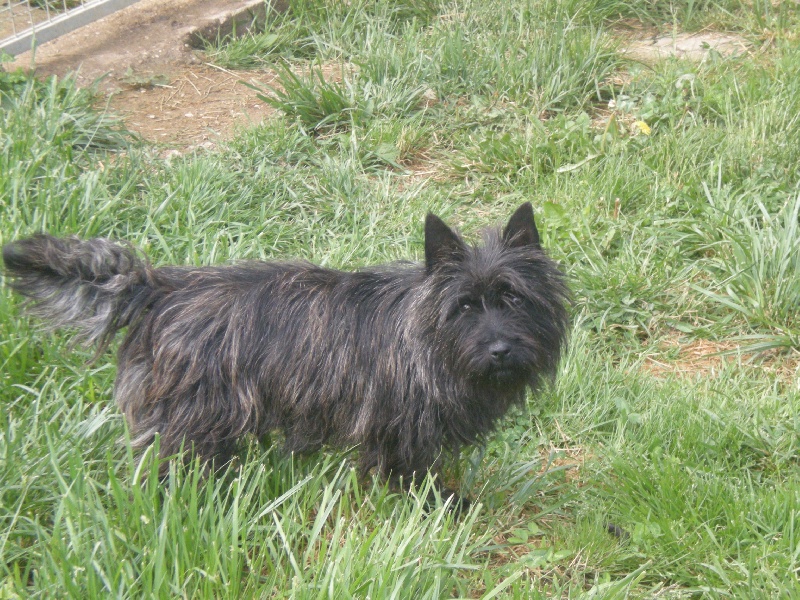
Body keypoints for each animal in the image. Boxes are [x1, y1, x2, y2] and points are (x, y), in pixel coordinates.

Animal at [4, 203, 568, 506]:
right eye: (465, 306)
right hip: (190, 421)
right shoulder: (397, 431)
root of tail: (160, 288)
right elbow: (409, 475)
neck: (426, 339)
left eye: (513, 299)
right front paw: (440, 508)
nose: (500, 349)